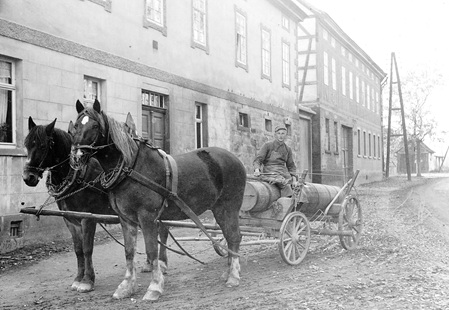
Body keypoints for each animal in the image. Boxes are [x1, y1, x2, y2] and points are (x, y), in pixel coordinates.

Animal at [22, 116, 115, 294]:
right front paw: (78, 278)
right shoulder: (70, 219)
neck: (79, 175)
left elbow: (87, 249)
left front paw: (87, 281)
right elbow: (78, 250)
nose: (27, 177)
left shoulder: (88, 218)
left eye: (43, 146)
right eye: (26, 144)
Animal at [69, 100, 245, 302]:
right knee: (231, 237)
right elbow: (129, 252)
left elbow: (151, 251)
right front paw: (127, 286)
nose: (77, 155)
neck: (131, 167)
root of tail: (236, 159)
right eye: (76, 126)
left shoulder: (147, 217)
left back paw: (233, 275)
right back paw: (228, 271)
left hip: (228, 207)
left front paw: (154, 286)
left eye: (95, 126)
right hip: (218, 208)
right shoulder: (126, 219)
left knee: (233, 237)